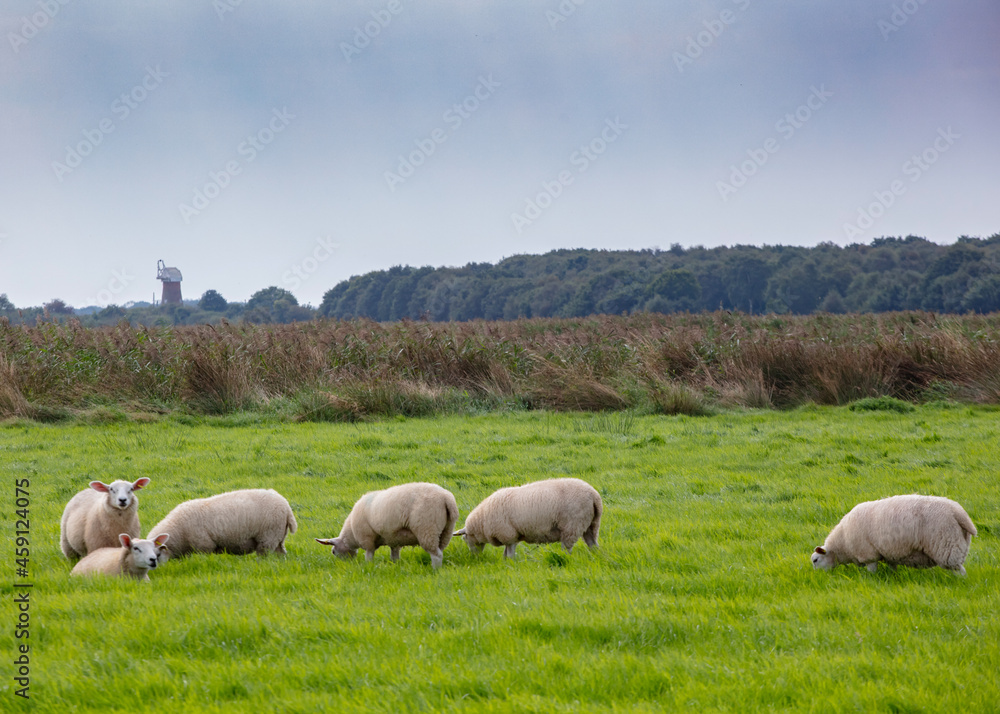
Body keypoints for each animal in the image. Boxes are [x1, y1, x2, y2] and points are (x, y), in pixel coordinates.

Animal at [147, 489, 297, 558]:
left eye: (158, 555)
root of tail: (285, 505)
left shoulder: (204, 545)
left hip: (268, 536)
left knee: (264, 554)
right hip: (277, 536)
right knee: (280, 553)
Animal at [315, 482, 458, 569]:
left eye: (333, 552)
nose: (345, 566)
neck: (352, 535)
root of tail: (446, 498)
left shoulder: (367, 539)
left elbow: (369, 555)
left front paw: (369, 567)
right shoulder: (394, 539)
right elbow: (394, 556)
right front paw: (396, 566)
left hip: (427, 528)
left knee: (436, 555)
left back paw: (435, 570)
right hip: (446, 531)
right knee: (441, 550)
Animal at [454, 477, 602, 559]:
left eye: (464, 539)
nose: (475, 557)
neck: (482, 522)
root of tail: (594, 495)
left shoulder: (509, 534)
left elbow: (510, 553)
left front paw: (510, 564)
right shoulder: (512, 535)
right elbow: (505, 553)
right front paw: (504, 563)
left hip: (572, 525)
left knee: (567, 547)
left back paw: (563, 557)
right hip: (591, 524)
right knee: (593, 544)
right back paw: (596, 556)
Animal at [811, 494, 977, 576]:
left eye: (815, 560)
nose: (818, 577)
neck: (842, 542)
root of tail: (959, 513)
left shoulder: (868, 554)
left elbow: (871, 571)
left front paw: (871, 579)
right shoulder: (890, 554)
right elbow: (893, 568)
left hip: (946, 545)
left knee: (960, 571)